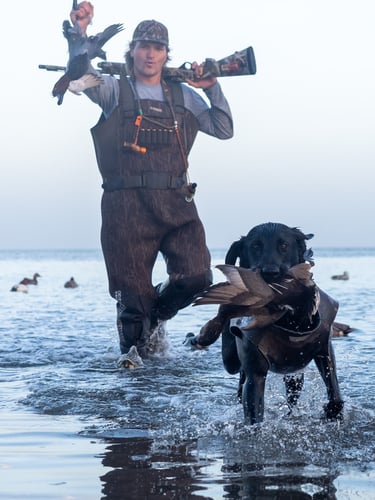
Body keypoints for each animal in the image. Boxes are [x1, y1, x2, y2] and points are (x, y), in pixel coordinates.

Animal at [194, 223, 344, 426]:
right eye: (255, 246)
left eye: (284, 245)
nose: (270, 273)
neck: (290, 322)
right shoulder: (255, 375)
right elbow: (254, 419)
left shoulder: (324, 352)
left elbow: (335, 395)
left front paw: (332, 413)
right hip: (230, 359)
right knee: (238, 374)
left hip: (294, 373)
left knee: (291, 396)